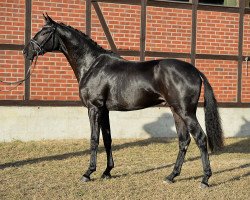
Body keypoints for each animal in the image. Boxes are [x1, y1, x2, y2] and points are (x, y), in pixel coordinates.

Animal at [23, 14, 223, 188]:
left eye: (44, 32)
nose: (26, 51)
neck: (92, 65)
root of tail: (195, 71)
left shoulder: (94, 108)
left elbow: (94, 139)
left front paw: (88, 173)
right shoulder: (104, 110)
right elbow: (107, 139)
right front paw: (107, 172)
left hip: (186, 112)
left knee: (200, 138)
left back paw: (205, 179)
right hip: (176, 111)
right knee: (184, 141)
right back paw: (171, 176)